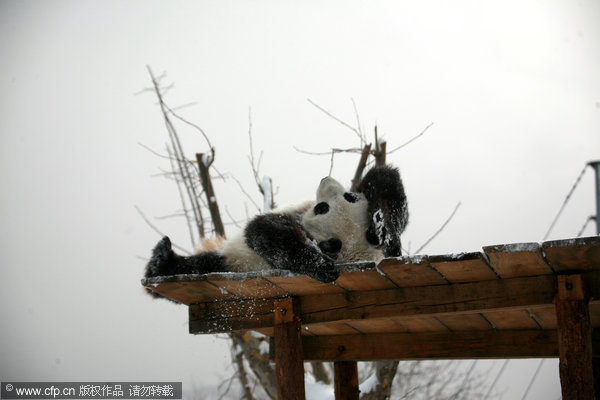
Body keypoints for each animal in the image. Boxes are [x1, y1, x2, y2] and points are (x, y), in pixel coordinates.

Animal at [145, 164, 408, 290]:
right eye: (349, 196)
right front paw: (385, 228)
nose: (326, 179)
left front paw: (319, 265)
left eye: (322, 208)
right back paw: (161, 259)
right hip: (230, 259)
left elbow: (263, 231)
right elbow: (383, 178)